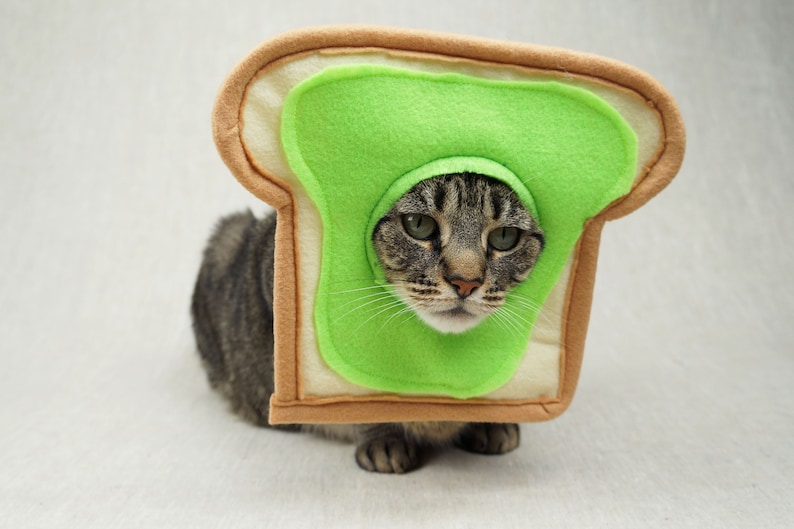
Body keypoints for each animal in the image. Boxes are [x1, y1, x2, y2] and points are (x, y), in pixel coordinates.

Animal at [189, 171, 540, 472]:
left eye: (505, 236)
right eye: (418, 224)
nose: (465, 282)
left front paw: (490, 423)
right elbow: (360, 402)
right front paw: (384, 439)